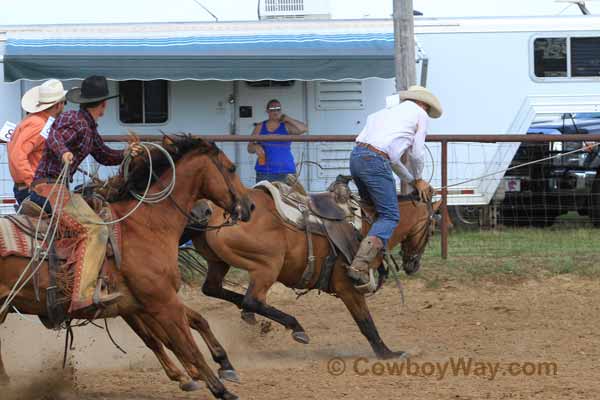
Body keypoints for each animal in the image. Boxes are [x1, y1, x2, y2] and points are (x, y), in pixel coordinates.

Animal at [0, 135, 253, 400]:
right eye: (231, 168)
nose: (249, 206)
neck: (146, 224)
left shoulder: (139, 305)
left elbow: (177, 332)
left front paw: (211, 370)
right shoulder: (162, 302)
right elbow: (186, 344)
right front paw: (218, 387)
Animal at [190, 181, 438, 360]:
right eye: (433, 226)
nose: (413, 264)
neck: (369, 226)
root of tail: (215, 211)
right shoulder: (349, 288)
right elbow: (366, 322)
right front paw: (387, 353)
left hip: (219, 263)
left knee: (213, 289)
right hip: (267, 267)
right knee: (252, 300)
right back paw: (296, 327)